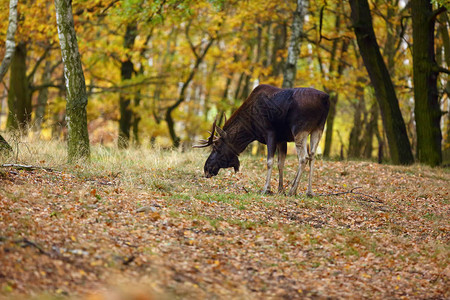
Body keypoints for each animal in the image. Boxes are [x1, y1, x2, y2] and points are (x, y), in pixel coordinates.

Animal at [194, 84, 330, 197]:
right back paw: (309, 192)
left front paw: (266, 189)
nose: (206, 169)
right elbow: (281, 163)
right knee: (312, 156)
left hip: (300, 129)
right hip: (318, 128)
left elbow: (269, 161)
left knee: (303, 158)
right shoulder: (282, 139)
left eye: (216, 146)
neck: (250, 130)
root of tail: (325, 98)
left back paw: (293, 190)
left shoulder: (270, 133)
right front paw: (280, 190)